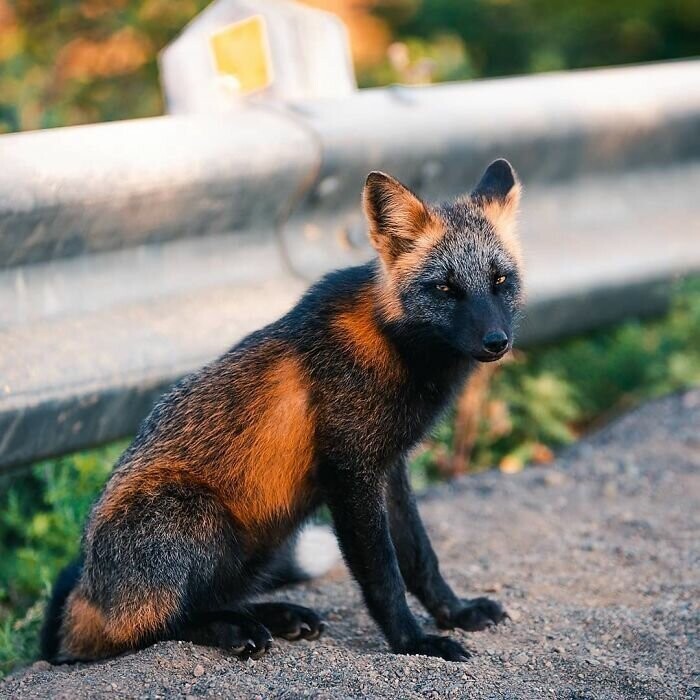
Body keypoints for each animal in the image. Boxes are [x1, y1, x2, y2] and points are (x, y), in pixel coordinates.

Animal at [38, 157, 520, 660]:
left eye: (500, 281)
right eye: (446, 288)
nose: (497, 341)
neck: (397, 347)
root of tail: (84, 590)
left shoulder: (389, 467)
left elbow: (421, 558)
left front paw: (456, 613)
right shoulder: (350, 473)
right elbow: (384, 577)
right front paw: (415, 642)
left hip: (260, 545)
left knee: (213, 599)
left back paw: (276, 616)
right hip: (196, 520)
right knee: (157, 626)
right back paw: (236, 629)